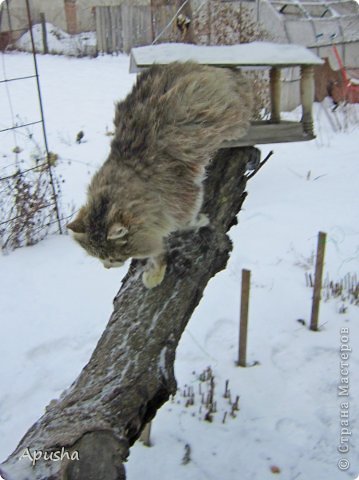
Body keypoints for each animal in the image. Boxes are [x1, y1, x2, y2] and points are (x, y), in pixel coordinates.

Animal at [67, 62, 253, 288]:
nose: (107, 267)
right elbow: (158, 252)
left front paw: (199, 221)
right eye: (100, 258)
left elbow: (185, 220)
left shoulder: (184, 195)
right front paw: (155, 273)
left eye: (113, 257)